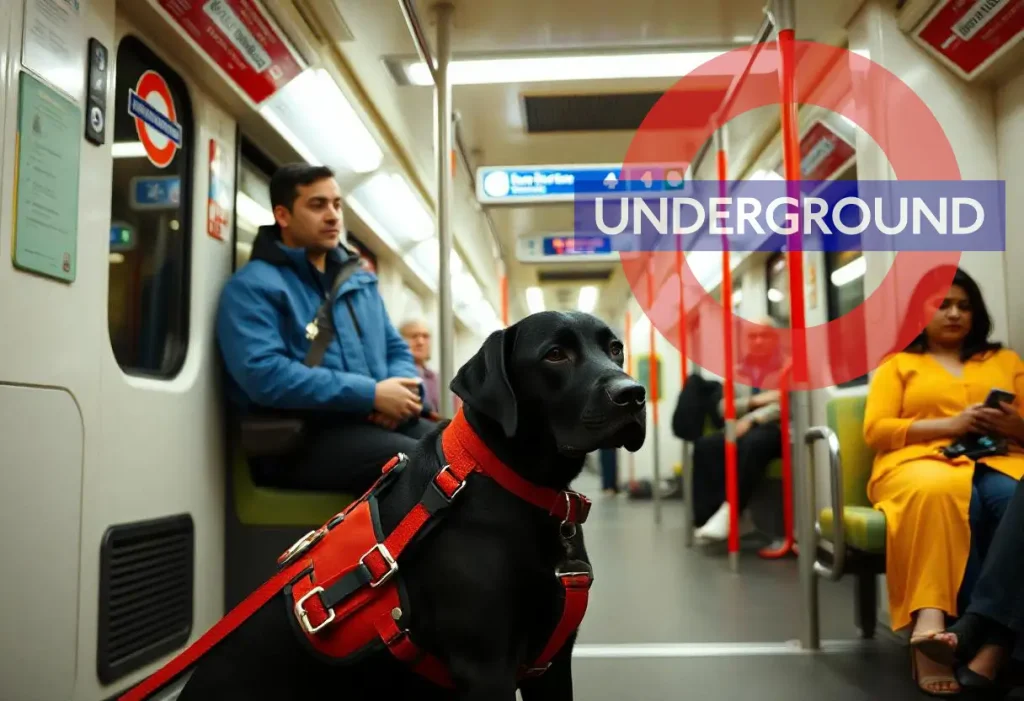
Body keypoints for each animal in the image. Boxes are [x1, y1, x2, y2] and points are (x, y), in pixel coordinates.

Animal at [172, 313, 643, 699]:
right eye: (555, 355)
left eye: (615, 348)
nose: (634, 394)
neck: (521, 487)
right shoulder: (487, 666)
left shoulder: (553, 662)